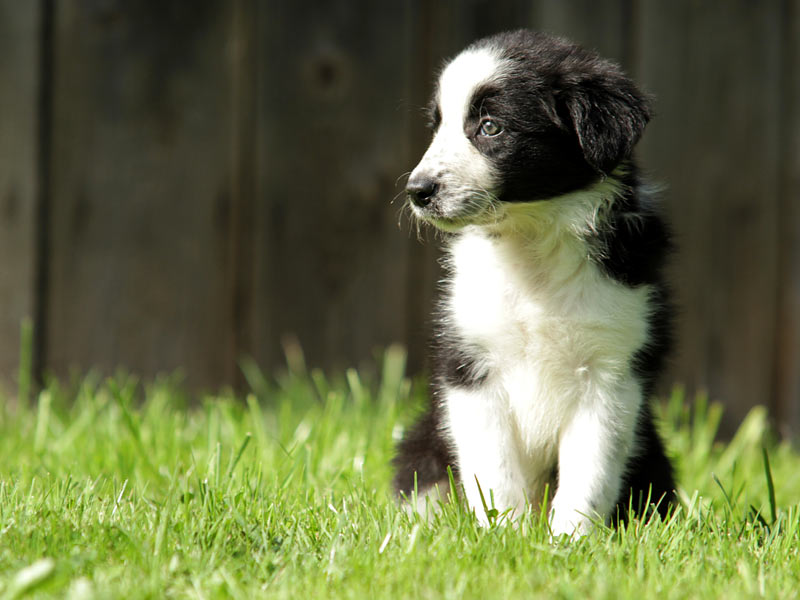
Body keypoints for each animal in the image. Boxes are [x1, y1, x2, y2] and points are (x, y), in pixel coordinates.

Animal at [394, 28, 676, 536]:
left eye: (490, 127)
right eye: (437, 125)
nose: (417, 192)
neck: (531, 246)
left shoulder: (611, 374)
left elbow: (589, 470)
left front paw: (570, 541)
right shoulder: (472, 368)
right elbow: (494, 470)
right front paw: (505, 536)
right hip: (422, 445)